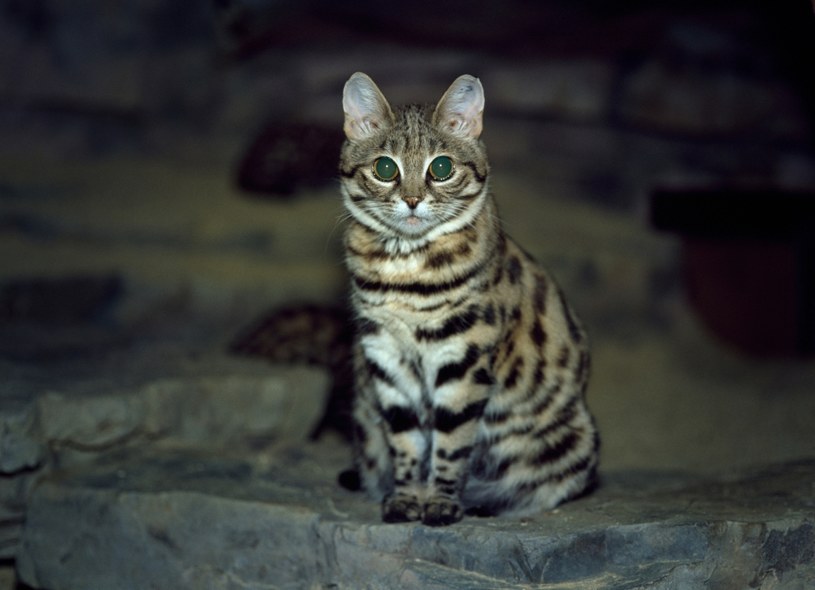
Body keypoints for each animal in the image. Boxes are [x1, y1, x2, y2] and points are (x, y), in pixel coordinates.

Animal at [338, 71, 600, 528]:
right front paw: (407, 498)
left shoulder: (463, 357)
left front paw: (440, 502)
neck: (406, 264)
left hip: (579, 442)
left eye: (441, 168)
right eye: (385, 168)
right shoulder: (385, 355)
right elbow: (406, 440)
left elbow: (451, 441)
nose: (411, 200)